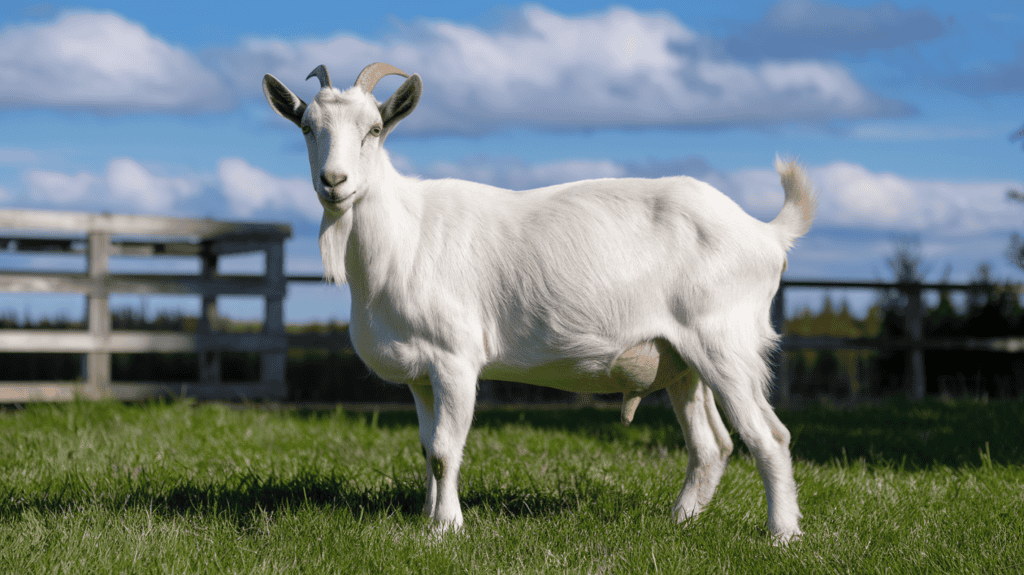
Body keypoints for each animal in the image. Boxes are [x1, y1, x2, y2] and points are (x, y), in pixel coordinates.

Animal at [263, 62, 816, 542]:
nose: (334, 182)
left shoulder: (455, 359)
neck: (405, 235)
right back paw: (679, 522)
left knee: (768, 436)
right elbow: (425, 447)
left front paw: (447, 528)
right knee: (711, 445)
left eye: (375, 129)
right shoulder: (420, 373)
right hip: (681, 359)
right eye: (307, 128)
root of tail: (766, 233)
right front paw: (427, 517)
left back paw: (782, 534)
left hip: (725, 343)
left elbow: (445, 449)